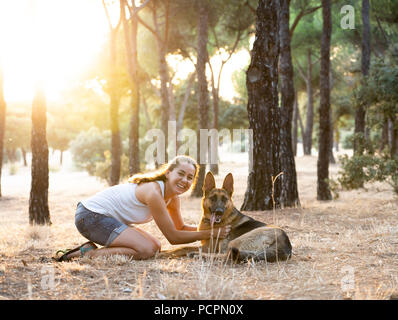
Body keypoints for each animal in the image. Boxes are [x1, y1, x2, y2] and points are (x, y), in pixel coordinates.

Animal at [160, 172, 294, 262]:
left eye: (224, 199)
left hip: (236, 241)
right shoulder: (206, 246)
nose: (219, 212)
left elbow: (183, 247)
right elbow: (184, 247)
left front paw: (163, 253)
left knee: (226, 255)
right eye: (213, 198)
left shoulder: (210, 247)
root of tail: (285, 244)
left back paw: (199, 256)